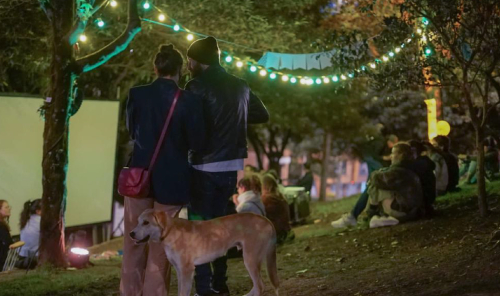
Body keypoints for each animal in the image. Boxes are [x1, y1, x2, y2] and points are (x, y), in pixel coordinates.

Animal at [131, 210, 280, 296]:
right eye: (138, 222)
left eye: (146, 222)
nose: (131, 234)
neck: (170, 231)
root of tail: (265, 219)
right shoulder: (179, 270)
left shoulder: (187, 270)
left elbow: (183, 293)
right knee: (257, 286)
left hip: (250, 259)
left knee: (260, 286)